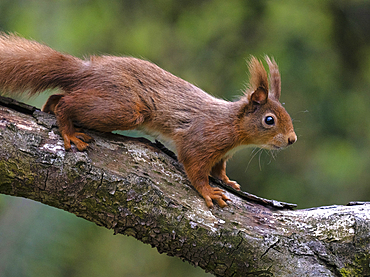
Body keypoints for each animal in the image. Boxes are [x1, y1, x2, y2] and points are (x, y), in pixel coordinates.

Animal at [0, 34, 296, 207]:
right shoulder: (201, 137)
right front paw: (209, 192)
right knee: (66, 103)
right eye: (269, 120)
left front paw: (227, 181)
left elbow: (218, 168)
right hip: (124, 107)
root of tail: (88, 70)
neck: (233, 125)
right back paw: (68, 131)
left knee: (57, 96)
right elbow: (194, 165)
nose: (292, 140)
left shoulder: (221, 152)